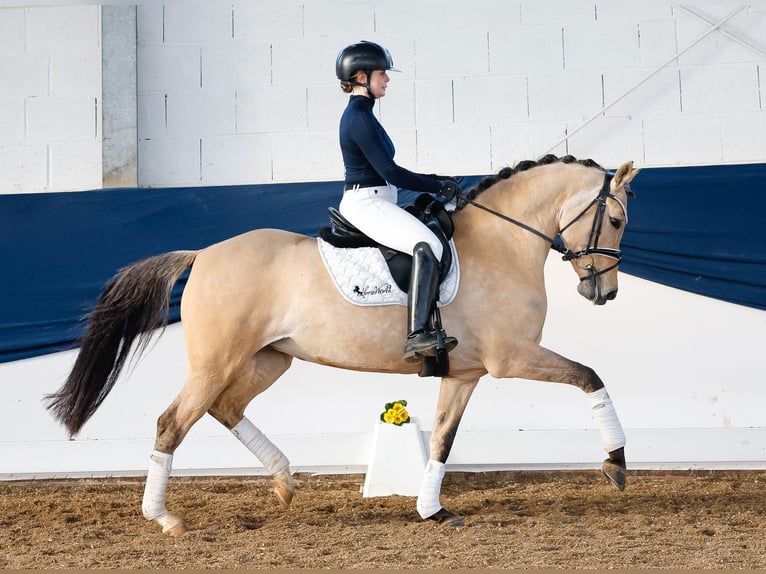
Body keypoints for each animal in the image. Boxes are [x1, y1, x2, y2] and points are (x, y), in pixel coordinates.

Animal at [43, 154, 640, 536]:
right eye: (614, 220)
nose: (604, 292)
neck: (502, 242)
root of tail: (203, 254)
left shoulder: (464, 373)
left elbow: (443, 440)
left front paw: (432, 510)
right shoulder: (512, 357)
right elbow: (591, 376)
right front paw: (615, 464)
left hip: (269, 360)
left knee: (225, 407)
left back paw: (285, 483)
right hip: (217, 361)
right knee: (174, 421)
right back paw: (165, 518)